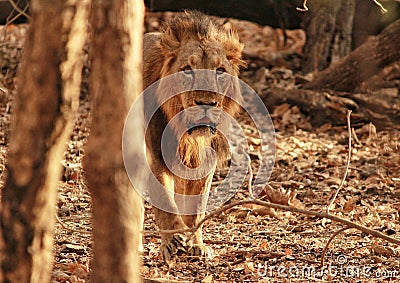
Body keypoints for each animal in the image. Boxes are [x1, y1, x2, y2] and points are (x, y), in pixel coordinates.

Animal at [142, 11, 245, 264]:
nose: (206, 103)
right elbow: (165, 202)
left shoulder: (206, 163)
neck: (187, 136)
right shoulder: (156, 156)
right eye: (187, 69)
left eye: (220, 71)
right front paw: (173, 241)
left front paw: (196, 244)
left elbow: (197, 209)